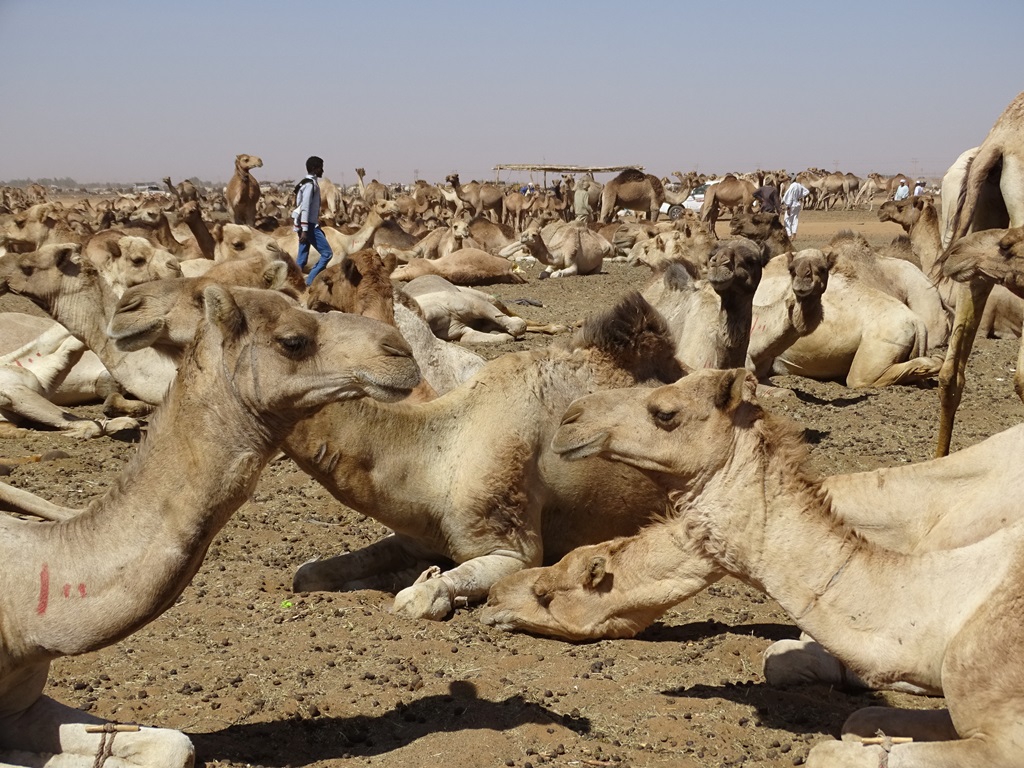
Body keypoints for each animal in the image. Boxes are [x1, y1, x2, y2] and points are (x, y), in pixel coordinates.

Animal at [532, 366, 1024, 768]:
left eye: (665, 412)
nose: (571, 418)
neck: (951, 602)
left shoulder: (1005, 739)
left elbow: (831, 750)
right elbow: (861, 717)